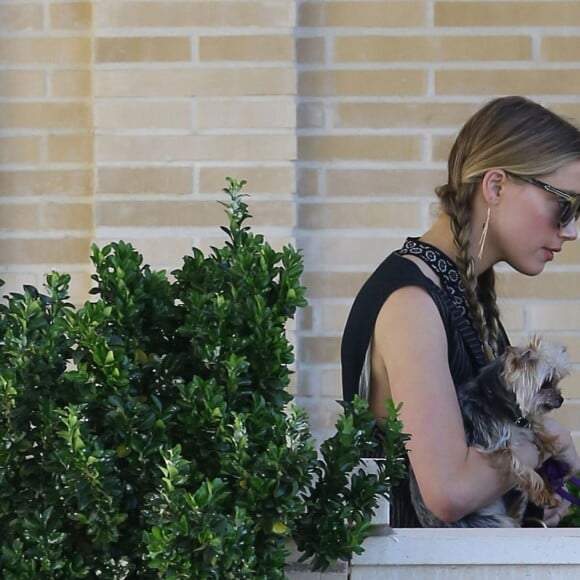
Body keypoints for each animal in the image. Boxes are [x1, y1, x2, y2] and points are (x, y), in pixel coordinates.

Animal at [410, 336, 568, 532]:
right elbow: (522, 468)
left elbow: (534, 426)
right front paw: (543, 493)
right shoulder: (496, 444)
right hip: (487, 523)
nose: (561, 399)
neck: (497, 398)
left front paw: (549, 441)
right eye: (546, 383)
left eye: (557, 381)